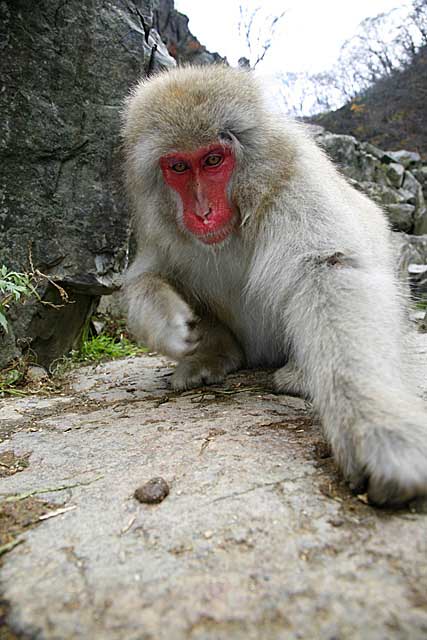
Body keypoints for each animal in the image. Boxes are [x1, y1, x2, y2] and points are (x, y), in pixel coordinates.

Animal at [122, 63, 427, 504]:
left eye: (213, 160)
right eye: (178, 167)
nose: (202, 212)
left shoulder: (293, 185)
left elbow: (329, 267)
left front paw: (379, 427)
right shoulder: (160, 225)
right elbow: (148, 275)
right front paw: (167, 323)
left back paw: (300, 372)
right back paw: (215, 353)